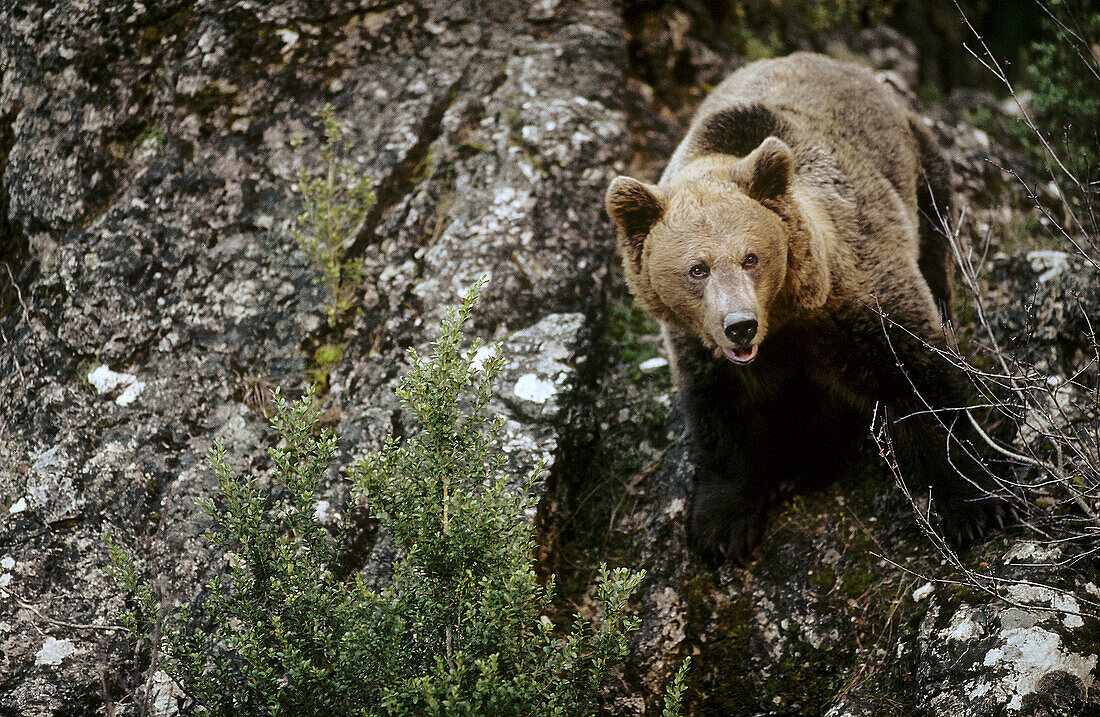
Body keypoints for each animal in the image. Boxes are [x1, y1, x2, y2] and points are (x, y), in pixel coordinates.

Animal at [607, 51, 1007, 567]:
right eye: (697, 269)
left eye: (750, 257)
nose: (739, 326)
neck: (783, 319)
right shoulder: (702, 345)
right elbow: (721, 416)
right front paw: (721, 526)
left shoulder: (854, 295)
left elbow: (921, 375)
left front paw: (976, 505)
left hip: (923, 176)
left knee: (937, 254)